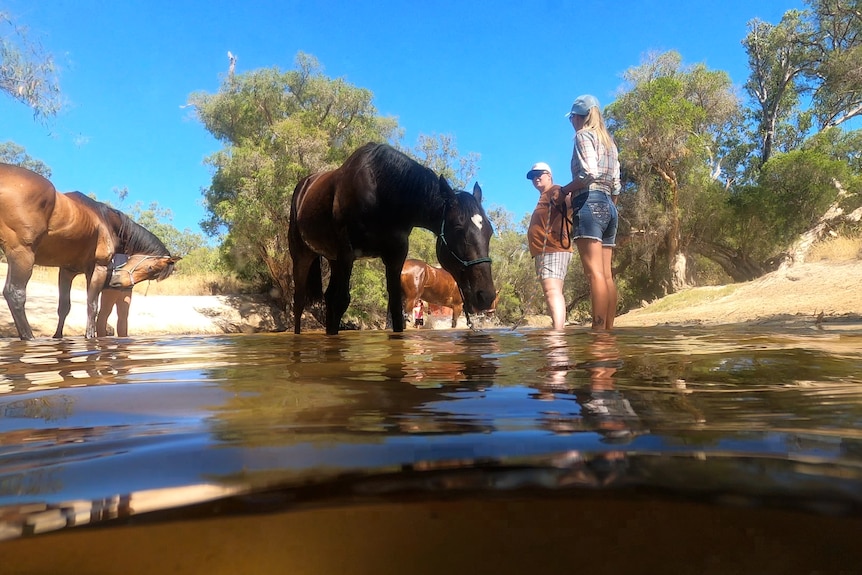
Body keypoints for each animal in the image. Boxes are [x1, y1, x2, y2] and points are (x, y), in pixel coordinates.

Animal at [0, 162, 180, 340]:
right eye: (151, 269)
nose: (117, 282)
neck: (108, 222)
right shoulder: (98, 268)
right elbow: (92, 305)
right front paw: (90, 336)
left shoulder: (67, 271)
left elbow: (64, 307)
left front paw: (58, 337)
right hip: (22, 254)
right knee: (15, 293)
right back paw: (29, 337)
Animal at [290, 142, 496, 336]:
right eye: (459, 229)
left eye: (490, 231)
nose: (486, 296)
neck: (381, 193)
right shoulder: (347, 253)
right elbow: (342, 300)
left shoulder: (395, 257)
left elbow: (396, 311)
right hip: (303, 257)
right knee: (300, 301)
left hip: (334, 260)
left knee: (329, 297)